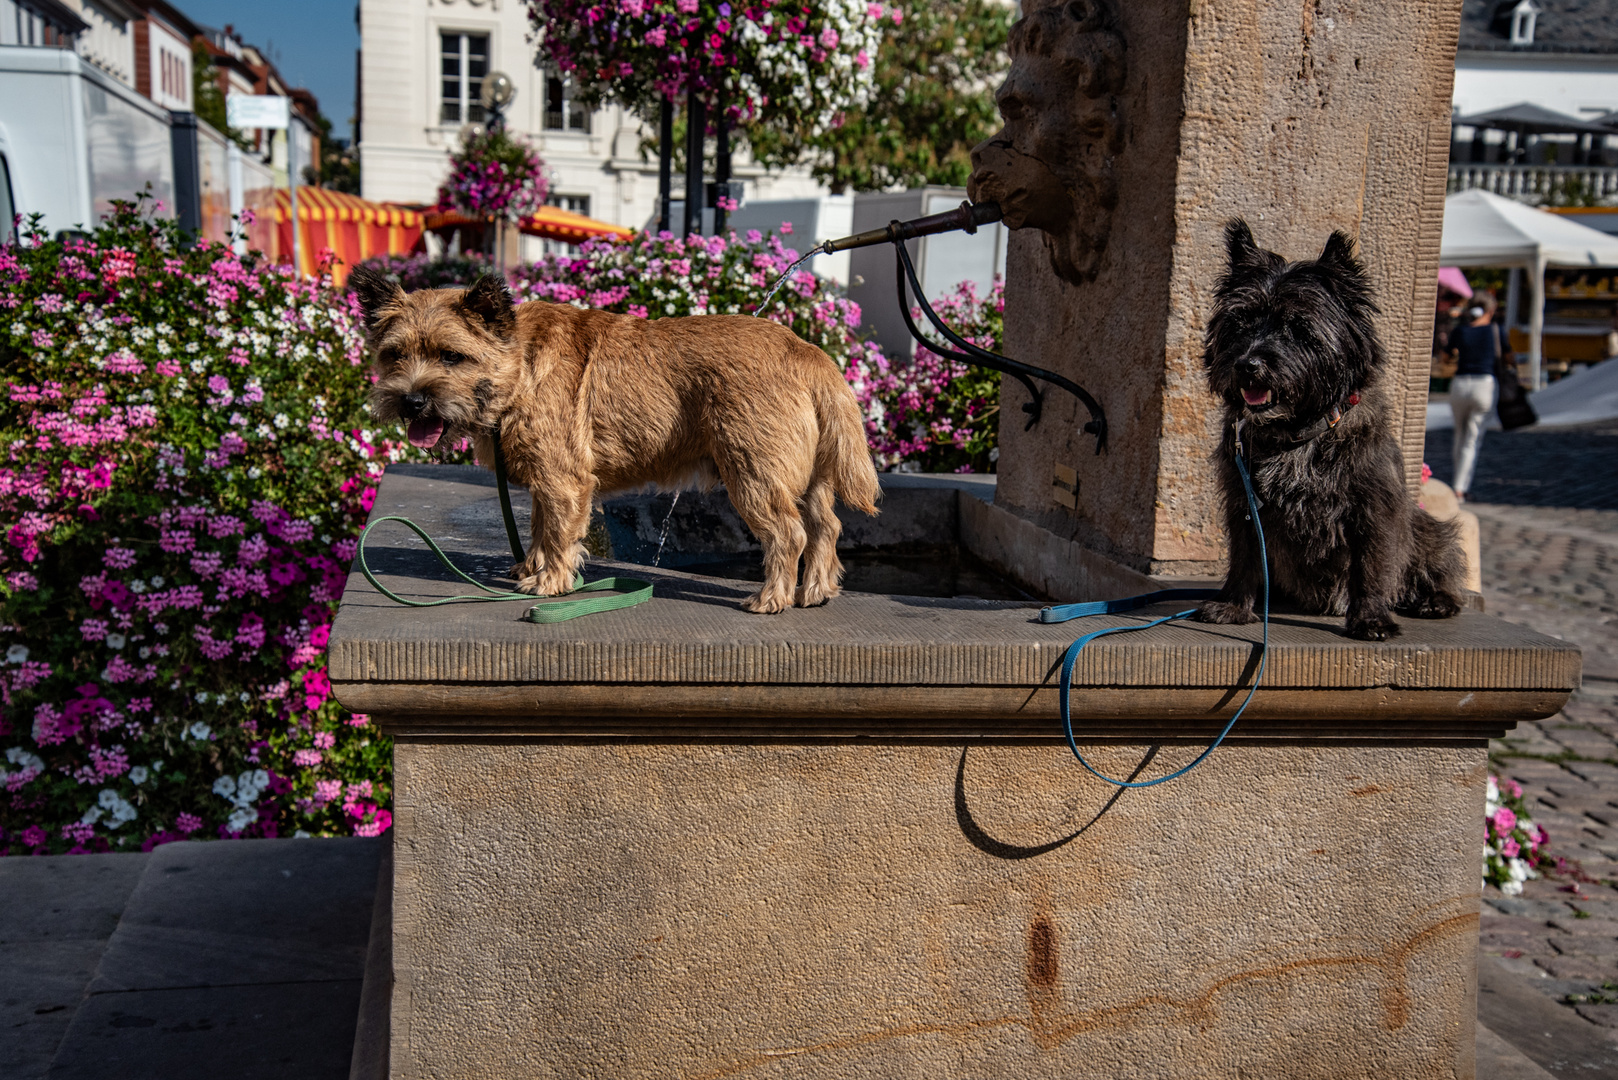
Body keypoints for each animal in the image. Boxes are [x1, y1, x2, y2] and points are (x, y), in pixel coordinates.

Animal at [354, 268, 880, 615]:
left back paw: (772, 598)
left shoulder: (563, 482)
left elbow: (557, 533)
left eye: (451, 356)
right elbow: (540, 527)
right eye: (394, 354)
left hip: (754, 475)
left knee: (789, 534)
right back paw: (815, 591)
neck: (519, 365)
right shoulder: (546, 483)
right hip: (807, 479)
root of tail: (805, 350)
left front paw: (550, 583)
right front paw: (531, 569)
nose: (412, 401)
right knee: (826, 527)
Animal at [1190, 220, 1469, 641]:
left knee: (1437, 561)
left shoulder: (1373, 507)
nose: (1247, 364)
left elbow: (1371, 565)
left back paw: (1436, 600)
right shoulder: (1244, 502)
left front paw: (1370, 618)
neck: (1296, 433)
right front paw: (1234, 606)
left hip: (1425, 529)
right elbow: (1245, 556)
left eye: (1297, 327)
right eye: (1240, 322)